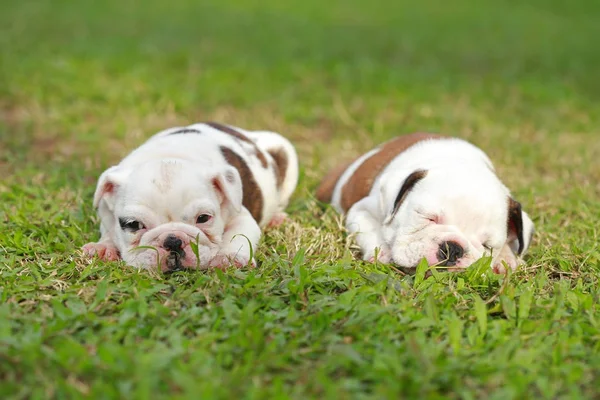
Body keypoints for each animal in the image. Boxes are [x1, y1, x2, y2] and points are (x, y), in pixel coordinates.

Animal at [83, 122, 298, 272]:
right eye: (133, 224)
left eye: (203, 218)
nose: (172, 241)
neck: (169, 155)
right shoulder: (107, 216)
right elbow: (109, 232)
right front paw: (102, 247)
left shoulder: (241, 215)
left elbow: (238, 234)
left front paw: (229, 258)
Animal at [316, 134, 536, 276]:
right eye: (427, 217)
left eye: (487, 245)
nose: (453, 249)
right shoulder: (361, 210)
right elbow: (369, 230)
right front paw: (382, 251)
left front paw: (505, 258)